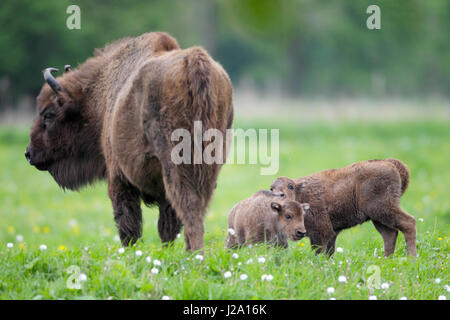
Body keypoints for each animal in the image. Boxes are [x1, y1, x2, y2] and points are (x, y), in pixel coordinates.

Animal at [25, 33, 234, 252]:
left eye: (49, 114)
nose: (29, 153)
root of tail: (193, 62)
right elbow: (166, 225)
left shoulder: (118, 177)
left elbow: (128, 222)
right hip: (210, 166)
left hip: (177, 165)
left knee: (189, 206)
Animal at [268, 159, 416, 256]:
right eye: (271, 188)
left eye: (290, 186)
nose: (279, 195)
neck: (302, 193)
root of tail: (391, 164)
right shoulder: (331, 234)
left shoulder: (321, 233)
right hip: (378, 218)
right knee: (390, 234)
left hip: (382, 210)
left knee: (408, 223)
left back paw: (411, 259)